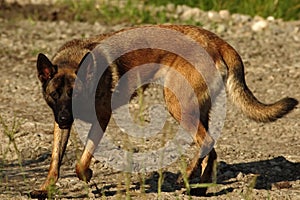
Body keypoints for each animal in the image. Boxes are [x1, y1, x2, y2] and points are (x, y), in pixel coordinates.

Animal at [29, 24, 298, 198]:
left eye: (74, 94)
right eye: (54, 95)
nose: (66, 118)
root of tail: (215, 40)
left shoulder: (102, 117)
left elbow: (81, 162)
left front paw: (87, 174)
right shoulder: (59, 124)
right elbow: (55, 160)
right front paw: (44, 189)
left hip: (176, 104)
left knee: (206, 141)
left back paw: (186, 176)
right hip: (196, 109)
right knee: (211, 149)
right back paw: (199, 186)